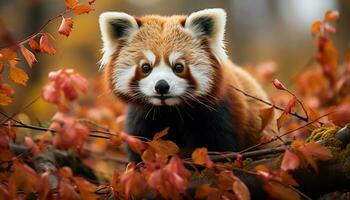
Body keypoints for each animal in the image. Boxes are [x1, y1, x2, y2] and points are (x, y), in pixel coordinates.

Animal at [98, 8, 274, 161]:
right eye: (145, 67)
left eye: (179, 67)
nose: (162, 86)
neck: (170, 111)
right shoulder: (141, 119)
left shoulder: (217, 114)